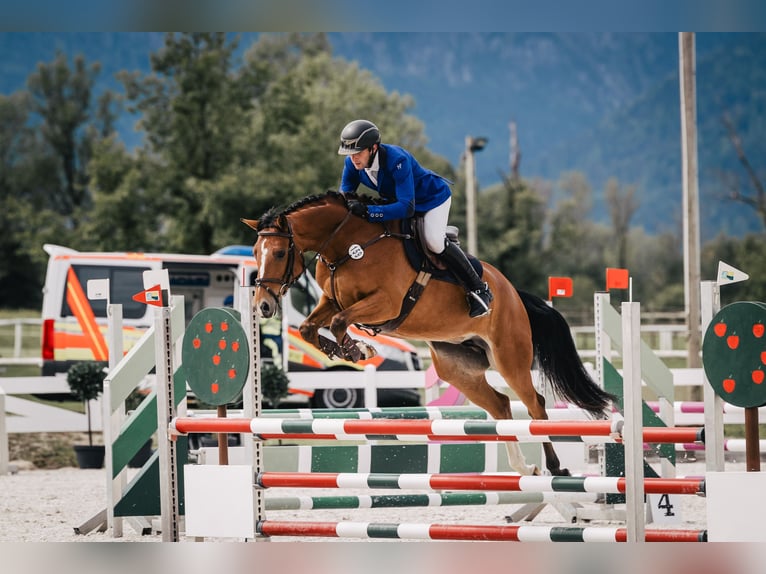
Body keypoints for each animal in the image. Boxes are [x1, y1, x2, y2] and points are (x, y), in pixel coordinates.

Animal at [246, 192, 616, 476]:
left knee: (535, 404)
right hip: (457, 368)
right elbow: (310, 327)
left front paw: (359, 350)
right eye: (254, 253)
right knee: (500, 405)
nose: (262, 305)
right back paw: (524, 468)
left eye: (279, 252)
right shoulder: (331, 299)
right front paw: (348, 350)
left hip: (509, 357)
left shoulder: (385, 303)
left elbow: (338, 322)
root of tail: (513, 294)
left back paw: (555, 467)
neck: (347, 245)